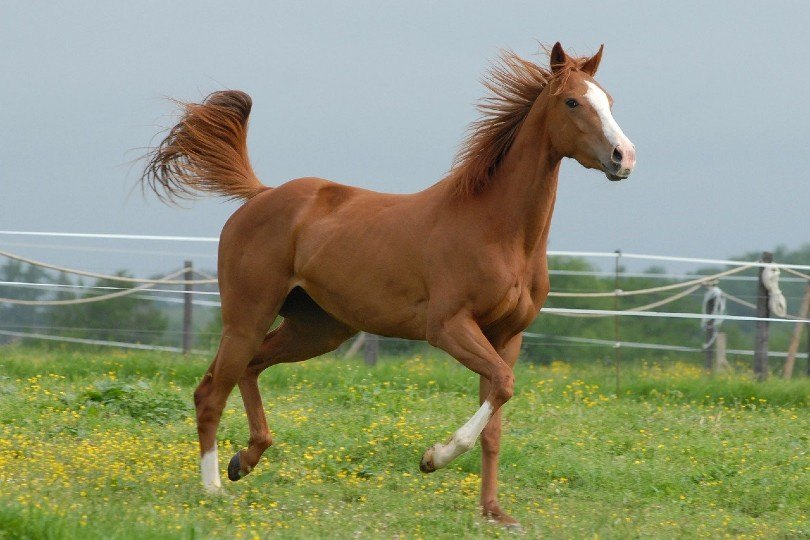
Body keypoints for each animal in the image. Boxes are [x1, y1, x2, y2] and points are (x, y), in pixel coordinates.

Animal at [141, 41, 635, 527]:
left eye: (609, 101)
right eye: (572, 102)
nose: (624, 157)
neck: (497, 231)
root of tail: (260, 195)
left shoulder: (506, 337)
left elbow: (496, 417)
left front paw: (494, 512)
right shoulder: (448, 327)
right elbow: (502, 387)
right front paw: (433, 458)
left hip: (316, 329)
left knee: (247, 370)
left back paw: (244, 461)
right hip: (248, 317)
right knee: (211, 392)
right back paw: (213, 488)